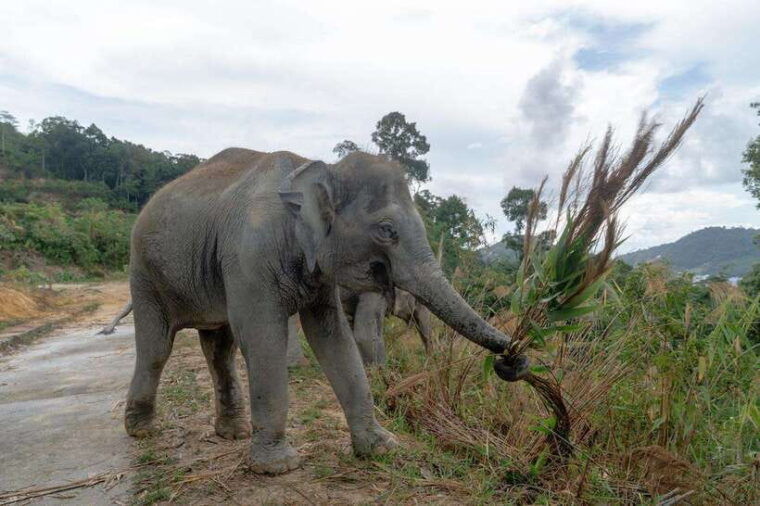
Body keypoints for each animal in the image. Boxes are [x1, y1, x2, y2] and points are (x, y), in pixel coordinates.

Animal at [120, 148, 526, 474]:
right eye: (387, 230)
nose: (513, 358)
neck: (317, 169)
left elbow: (333, 337)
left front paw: (381, 448)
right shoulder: (250, 257)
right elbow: (264, 336)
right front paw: (277, 467)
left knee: (220, 350)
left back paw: (232, 433)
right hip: (144, 272)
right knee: (157, 348)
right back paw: (141, 430)